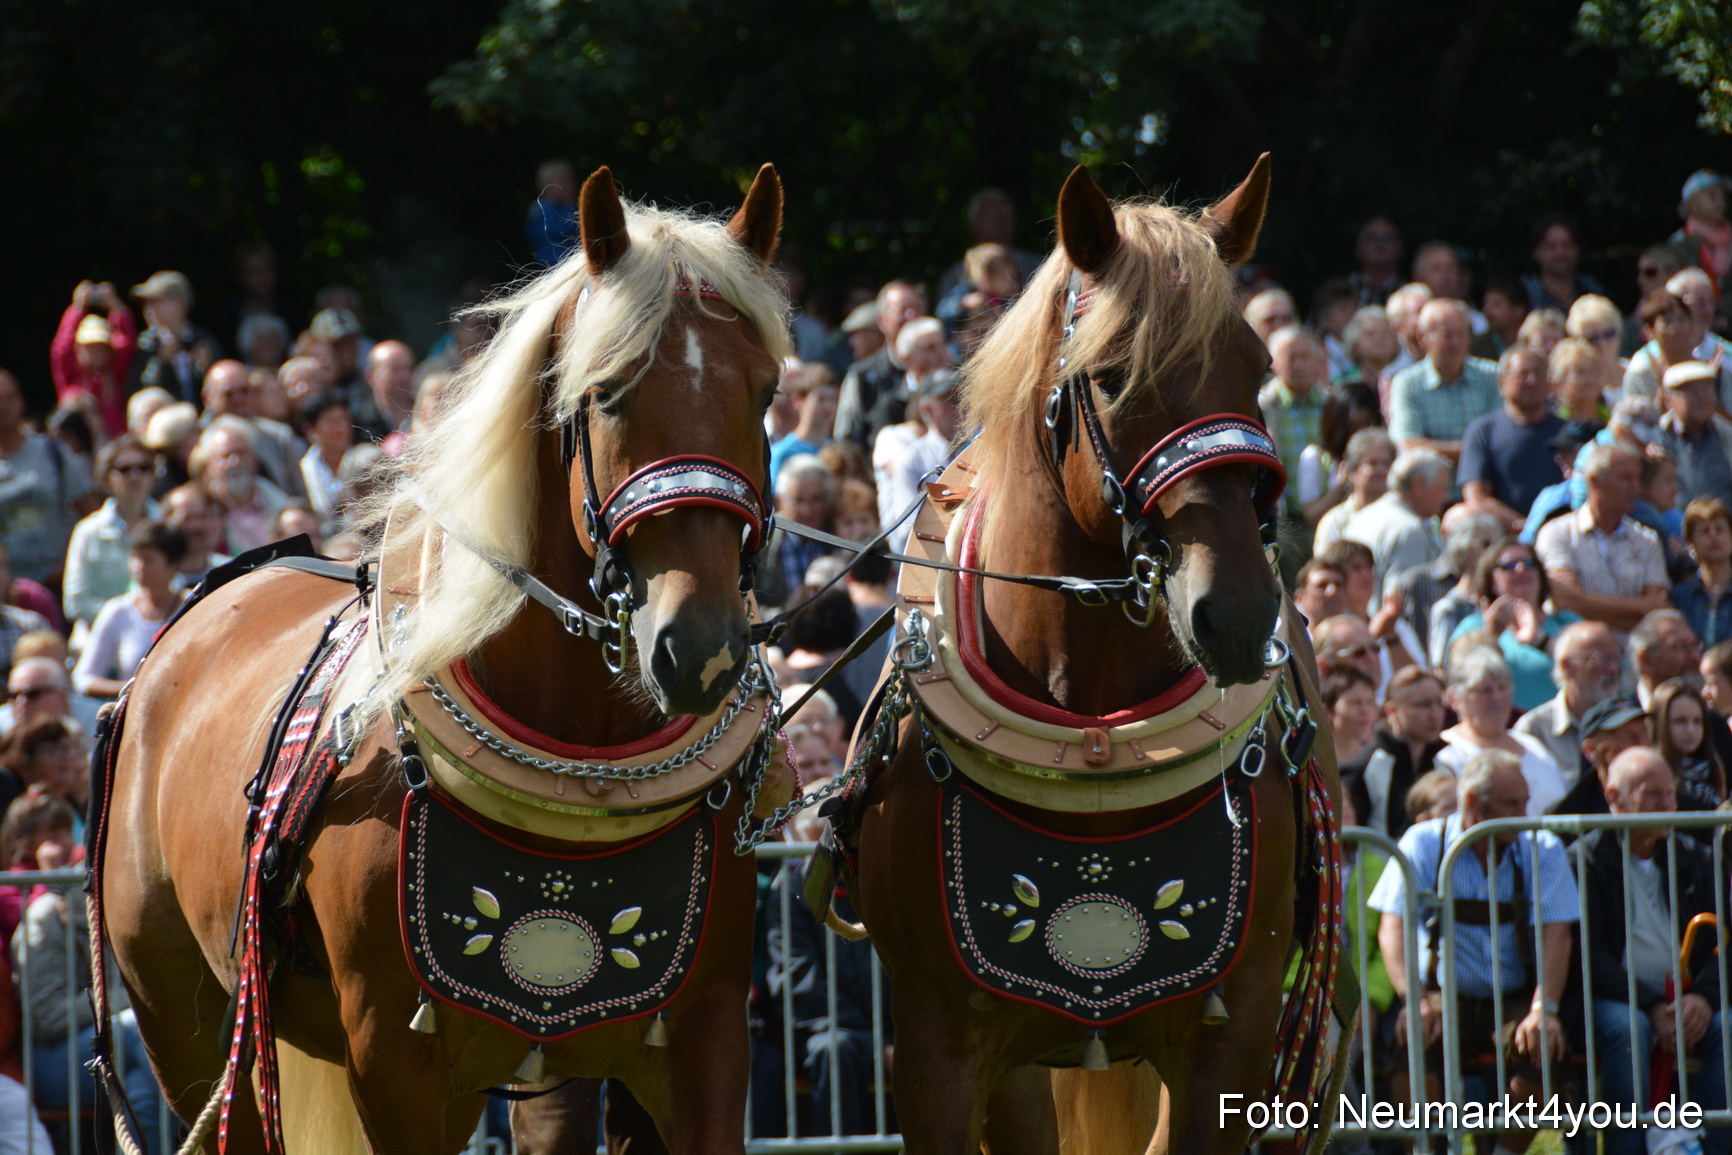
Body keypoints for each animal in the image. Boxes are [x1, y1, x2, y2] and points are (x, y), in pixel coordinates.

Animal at [95, 163, 796, 1154]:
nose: (695, 646)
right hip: (191, 1030)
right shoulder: (395, 1062)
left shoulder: (702, 1038)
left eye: (764, 390)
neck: (577, 762)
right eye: (608, 392)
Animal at [841, 157, 1350, 1155]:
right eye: (1111, 378)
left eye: (1261, 367)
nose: (1236, 610)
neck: (1094, 733)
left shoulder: (1230, 1036)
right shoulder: (938, 1048)